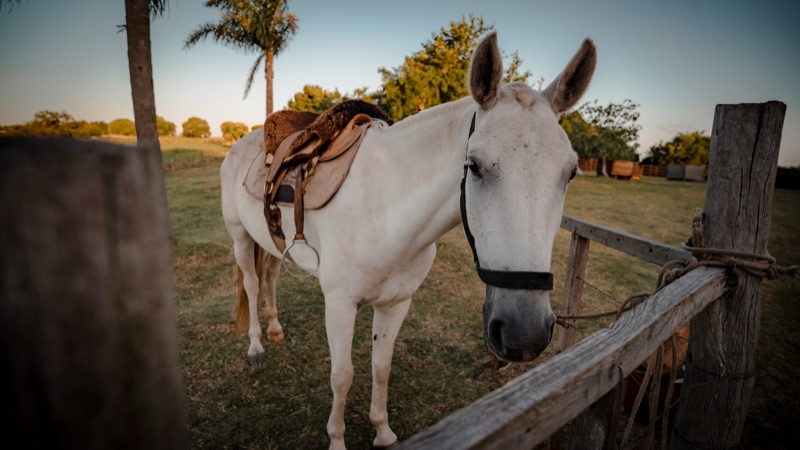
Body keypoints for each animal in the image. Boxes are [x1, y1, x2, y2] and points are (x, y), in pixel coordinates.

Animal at [219, 32, 596, 449]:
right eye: (474, 167)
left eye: (571, 173)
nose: (524, 332)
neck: (387, 207)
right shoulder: (339, 305)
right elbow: (342, 376)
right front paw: (337, 439)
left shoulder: (397, 303)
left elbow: (381, 367)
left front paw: (383, 432)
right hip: (239, 236)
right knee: (252, 284)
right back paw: (256, 345)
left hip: (270, 244)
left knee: (269, 278)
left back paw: (274, 328)